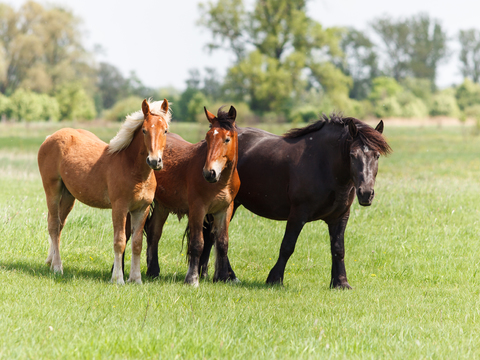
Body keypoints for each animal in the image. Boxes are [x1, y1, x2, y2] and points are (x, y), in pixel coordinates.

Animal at [38, 98, 172, 284]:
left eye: (165, 130)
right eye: (144, 130)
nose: (154, 161)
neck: (134, 170)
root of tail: (50, 137)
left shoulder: (141, 209)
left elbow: (137, 243)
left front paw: (136, 279)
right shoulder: (119, 208)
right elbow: (120, 241)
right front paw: (118, 279)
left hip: (68, 196)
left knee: (59, 225)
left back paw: (51, 262)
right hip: (52, 189)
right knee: (53, 225)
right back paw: (58, 267)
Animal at [143, 114, 390, 288]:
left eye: (376, 155)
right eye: (352, 155)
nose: (366, 193)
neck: (323, 164)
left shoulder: (340, 217)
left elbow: (338, 248)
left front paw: (341, 282)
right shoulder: (298, 214)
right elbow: (287, 246)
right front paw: (274, 278)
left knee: (212, 237)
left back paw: (207, 273)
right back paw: (225, 275)